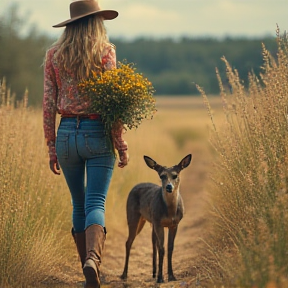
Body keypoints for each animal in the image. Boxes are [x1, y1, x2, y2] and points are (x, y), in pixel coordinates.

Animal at [120, 154, 192, 282]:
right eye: (162, 176)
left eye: (175, 175)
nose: (169, 187)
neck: (170, 212)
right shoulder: (159, 222)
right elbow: (162, 248)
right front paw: (161, 278)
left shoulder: (174, 224)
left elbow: (170, 248)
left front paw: (171, 276)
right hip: (133, 216)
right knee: (129, 242)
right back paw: (124, 274)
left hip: (150, 221)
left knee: (153, 242)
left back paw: (154, 272)